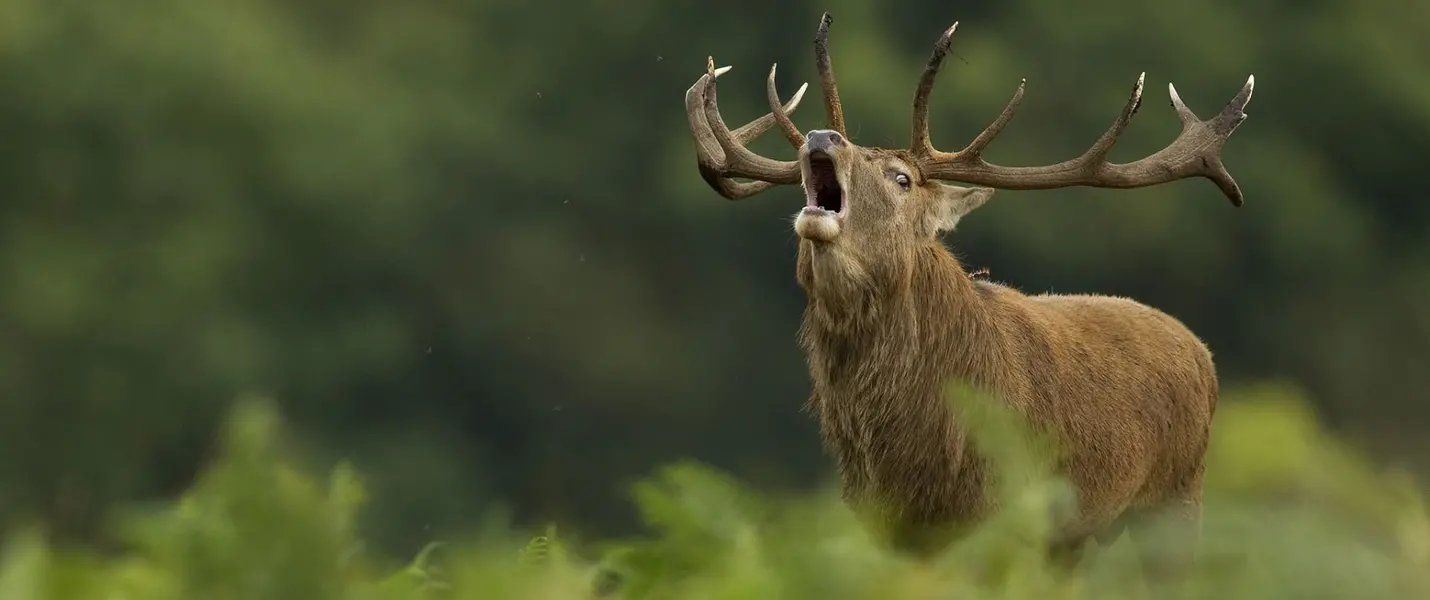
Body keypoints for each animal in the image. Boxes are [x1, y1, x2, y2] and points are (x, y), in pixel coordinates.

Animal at [680, 12, 1252, 580]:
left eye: (902, 178)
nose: (823, 136)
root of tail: (1204, 355)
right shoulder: (882, 519)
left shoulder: (1003, 509)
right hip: (1073, 537)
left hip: (1177, 494)